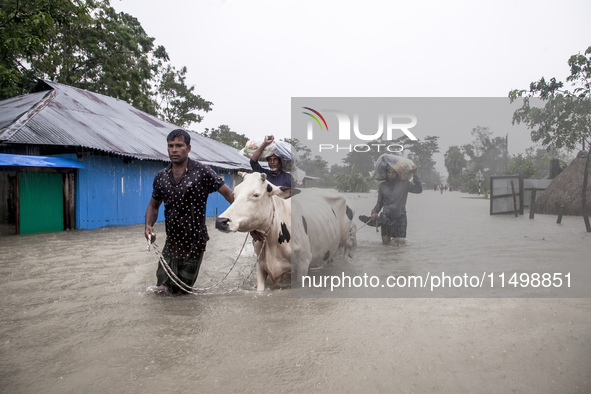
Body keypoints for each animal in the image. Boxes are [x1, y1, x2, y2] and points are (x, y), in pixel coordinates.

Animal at [216, 172, 356, 290]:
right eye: (234, 194)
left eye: (256, 194)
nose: (220, 221)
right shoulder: (260, 264)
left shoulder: (303, 263)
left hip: (346, 236)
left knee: (348, 248)